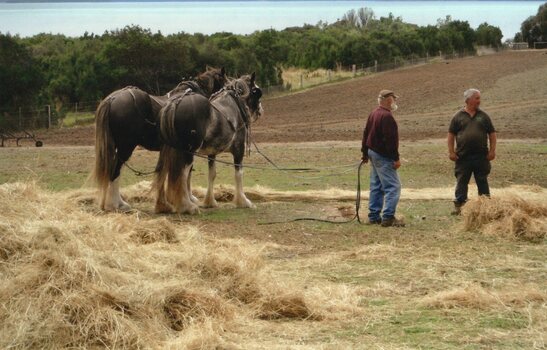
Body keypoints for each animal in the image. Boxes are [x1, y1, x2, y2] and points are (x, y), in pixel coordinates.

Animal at [93, 67, 226, 212]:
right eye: (224, 80)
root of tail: (112, 99)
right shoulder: (188, 147)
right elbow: (187, 172)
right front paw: (189, 200)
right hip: (126, 147)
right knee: (115, 171)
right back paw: (115, 204)